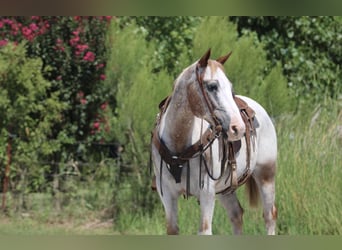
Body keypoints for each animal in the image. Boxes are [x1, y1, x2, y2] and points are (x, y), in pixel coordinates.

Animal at [151, 48, 276, 234]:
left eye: (230, 88)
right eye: (212, 86)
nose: (238, 128)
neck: (179, 146)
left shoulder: (207, 194)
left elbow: (205, 230)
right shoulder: (167, 195)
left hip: (266, 175)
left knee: (269, 217)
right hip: (226, 190)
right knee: (236, 215)